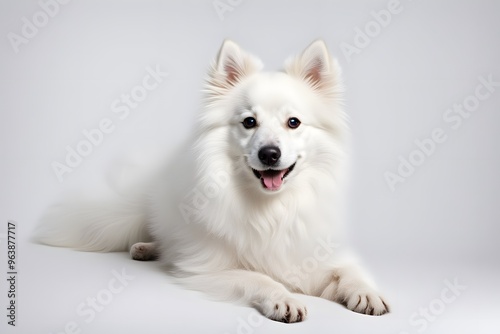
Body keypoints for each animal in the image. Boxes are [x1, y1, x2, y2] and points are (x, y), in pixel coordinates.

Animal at [35, 39, 388, 324]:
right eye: (249, 122)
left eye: (293, 122)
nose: (269, 154)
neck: (272, 209)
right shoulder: (210, 268)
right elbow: (259, 278)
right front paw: (282, 298)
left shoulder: (314, 256)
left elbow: (348, 270)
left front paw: (366, 292)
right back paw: (145, 247)